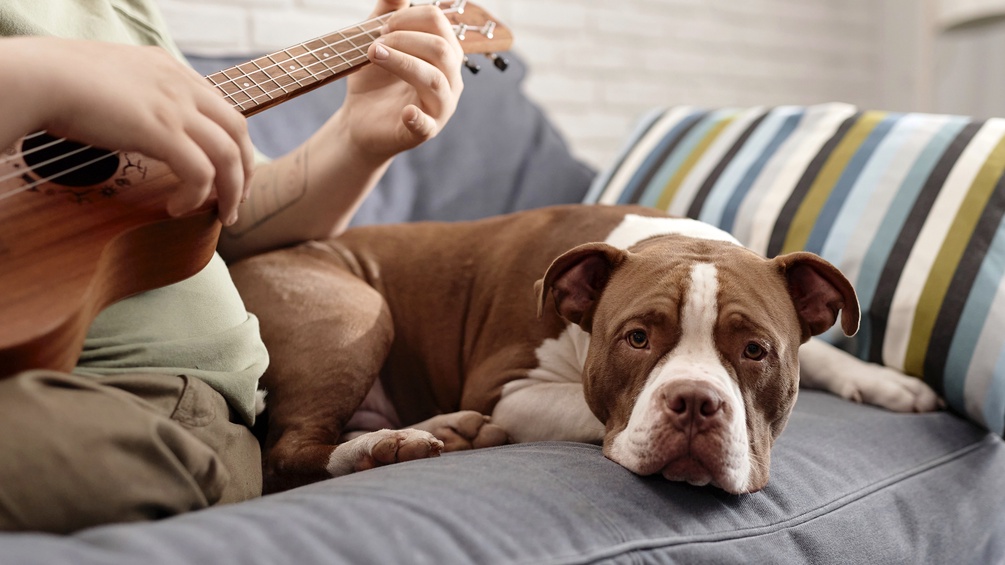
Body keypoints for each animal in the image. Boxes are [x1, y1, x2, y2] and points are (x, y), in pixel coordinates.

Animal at [230, 203, 940, 492]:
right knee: (287, 453)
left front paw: (887, 381)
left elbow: (820, 350)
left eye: (757, 351)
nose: (696, 404)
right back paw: (385, 447)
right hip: (352, 312)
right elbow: (592, 411)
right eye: (636, 338)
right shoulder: (508, 386)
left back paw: (442, 432)